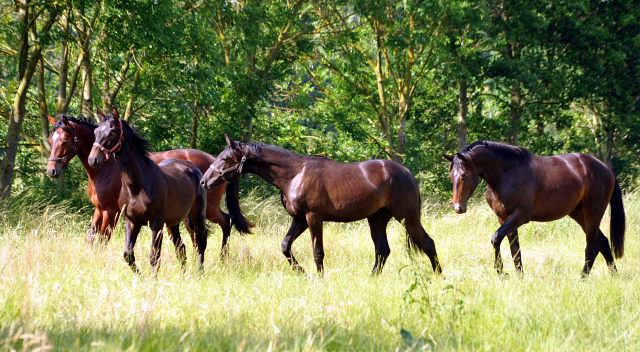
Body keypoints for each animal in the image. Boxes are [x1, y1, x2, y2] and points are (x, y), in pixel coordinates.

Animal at [46, 111, 251, 258]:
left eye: (65, 141)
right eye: (50, 140)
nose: (51, 170)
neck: (106, 169)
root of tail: (214, 162)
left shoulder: (111, 212)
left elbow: (103, 240)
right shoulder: (99, 210)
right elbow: (91, 239)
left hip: (207, 209)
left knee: (226, 221)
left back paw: (222, 259)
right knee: (197, 236)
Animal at [85, 107, 208, 272]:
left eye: (111, 132)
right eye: (96, 131)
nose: (93, 159)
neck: (137, 187)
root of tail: (194, 169)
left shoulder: (156, 224)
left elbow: (154, 257)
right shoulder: (132, 222)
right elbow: (128, 254)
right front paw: (140, 275)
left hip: (197, 216)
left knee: (201, 241)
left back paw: (199, 272)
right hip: (173, 222)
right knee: (181, 247)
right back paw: (183, 274)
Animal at [202, 135, 442, 276]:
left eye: (224, 159)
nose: (204, 182)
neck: (295, 174)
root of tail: (408, 174)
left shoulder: (313, 217)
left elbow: (318, 251)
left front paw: (319, 277)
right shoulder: (299, 219)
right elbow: (285, 245)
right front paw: (301, 272)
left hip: (407, 217)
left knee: (428, 243)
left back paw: (439, 276)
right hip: (377, 219)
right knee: (383, 250)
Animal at [444, 142, 624, 276]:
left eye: (464, 175)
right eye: (451, 176)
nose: (458, 207)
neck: (508, 173)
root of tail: (605, 168)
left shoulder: (520, 216)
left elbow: (496, 238)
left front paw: (501, 272)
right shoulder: (504, 218)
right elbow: (515, 251)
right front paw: (519, 277)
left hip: (593, 213)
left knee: (591, 247)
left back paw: (583, 278)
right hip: (579, 214)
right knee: (603, 242)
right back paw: (614, 276)